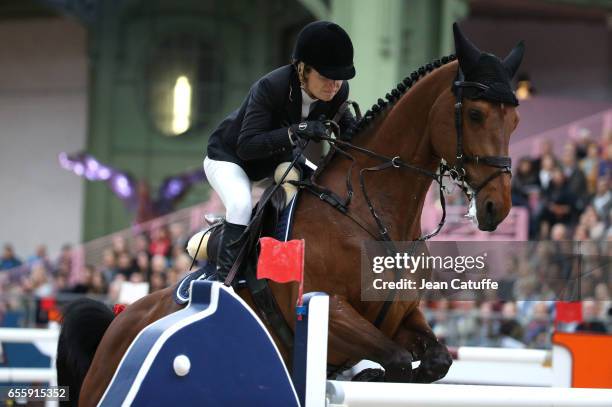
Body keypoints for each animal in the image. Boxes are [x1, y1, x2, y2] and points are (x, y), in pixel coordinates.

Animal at [59, 24, 524, 404]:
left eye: (516, 121)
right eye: (476, 114)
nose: (496, 208)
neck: (370, 216)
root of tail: (119, 321)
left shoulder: (402, 317)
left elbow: (435, 362)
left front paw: (370, 377)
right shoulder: (327, 310)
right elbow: (393, 360)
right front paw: (367, 378)